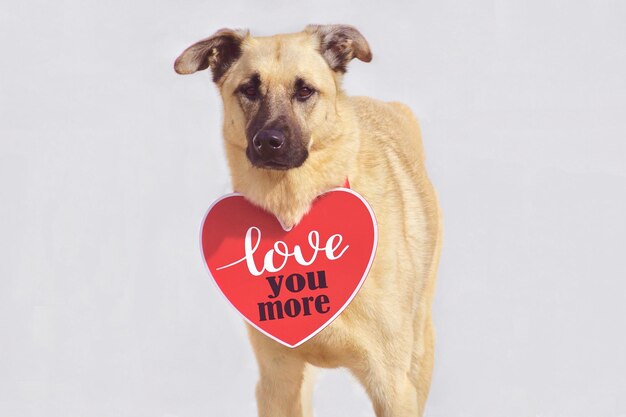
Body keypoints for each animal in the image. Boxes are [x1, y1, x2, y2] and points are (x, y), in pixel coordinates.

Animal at [173, 25, 442, 416]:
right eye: (249, 89)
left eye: (304, 90)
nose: (268, 141)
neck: (294, 209)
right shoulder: (277, 383)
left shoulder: (393, 387)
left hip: (420, 353)